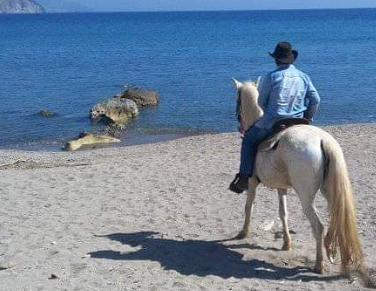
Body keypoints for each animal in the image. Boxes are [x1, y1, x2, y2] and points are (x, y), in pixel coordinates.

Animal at [232, 77, 364, 276]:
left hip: (306, 197)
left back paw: (318, 265)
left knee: (319, 227)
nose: (239, 125)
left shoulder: (253, 182)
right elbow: (283, 213)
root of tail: (322, 140)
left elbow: (249, 206)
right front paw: (286, 244)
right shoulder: (281, 188)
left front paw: (243, 232)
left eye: (237, 100)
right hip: (331, 192)